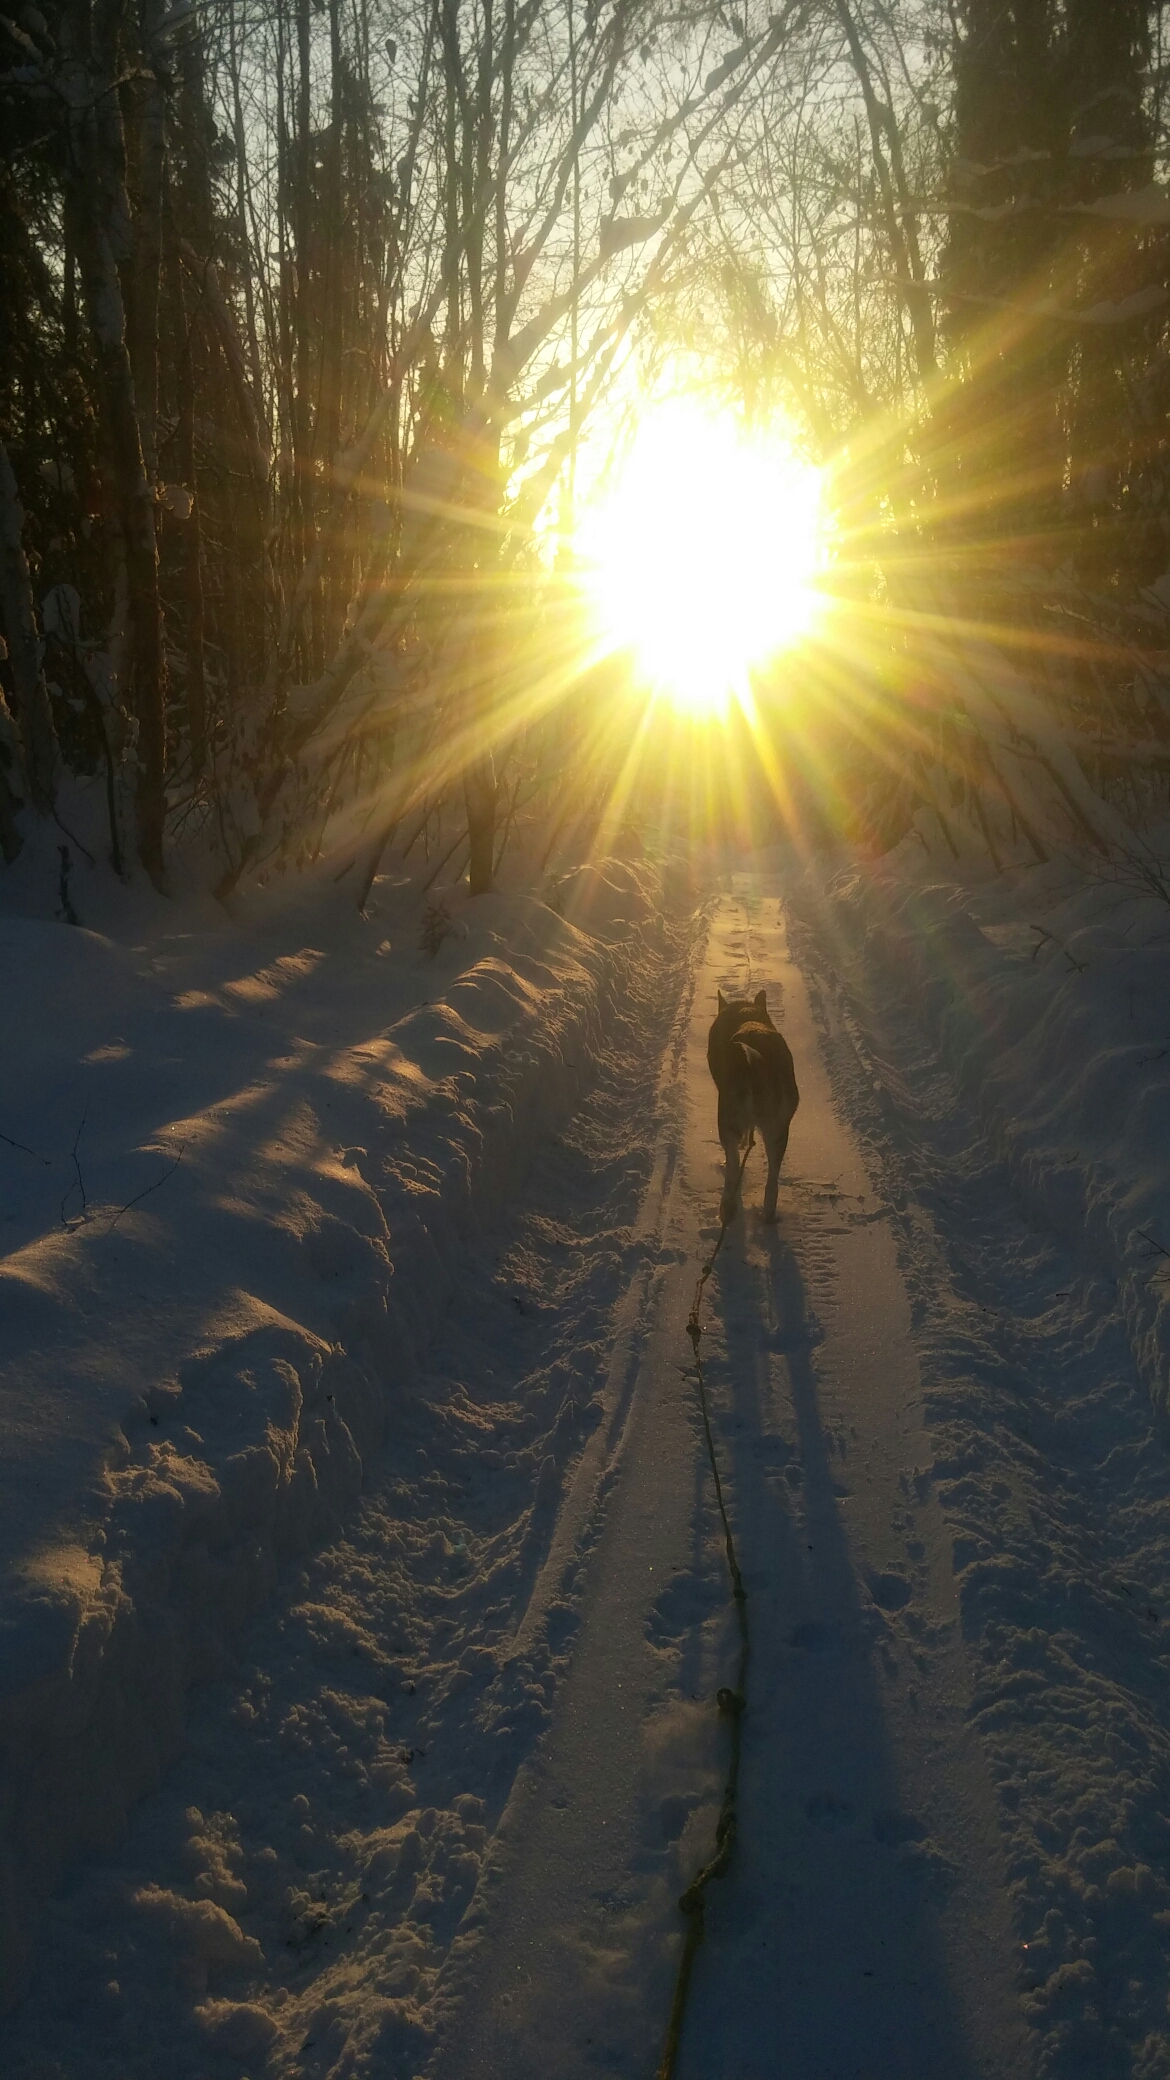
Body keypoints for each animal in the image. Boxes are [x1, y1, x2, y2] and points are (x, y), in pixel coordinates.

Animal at [707, 989, 799, 1224]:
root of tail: (755, 1066)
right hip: (778, 1131)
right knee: (772, 1182)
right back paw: (767, 1215)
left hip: (727, 1119)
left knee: (732, 1168)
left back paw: (726, 1209)